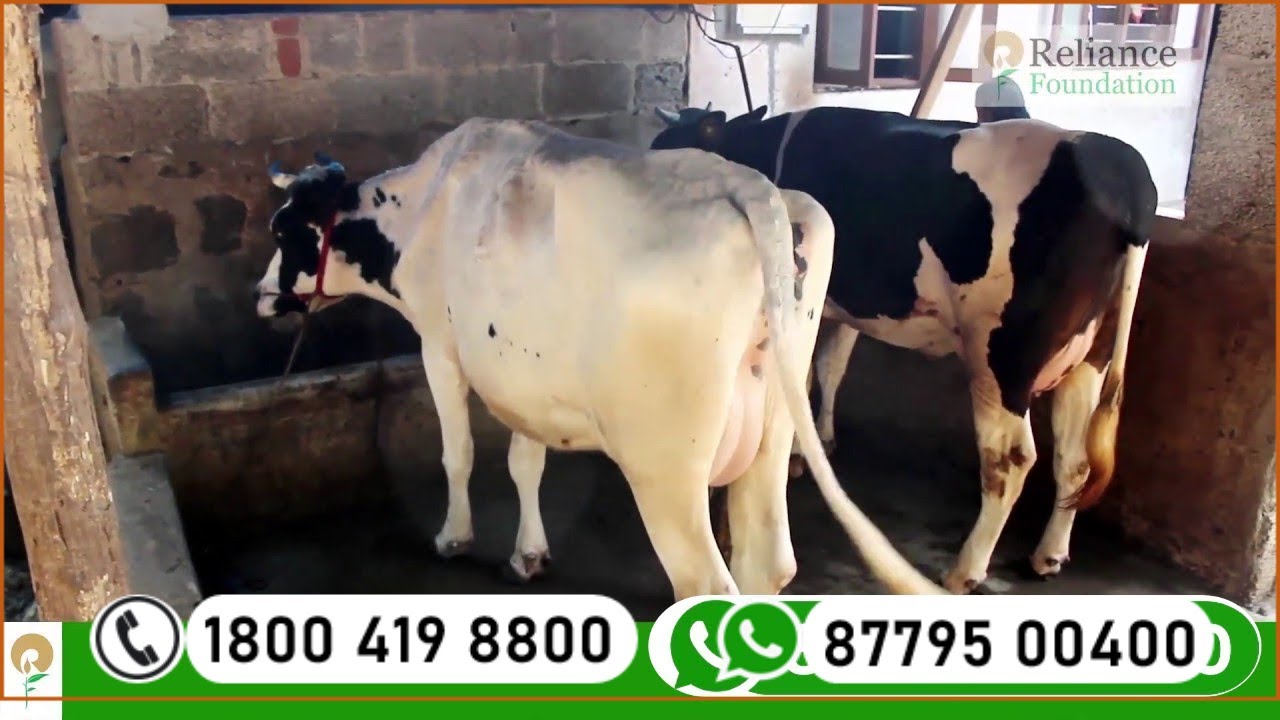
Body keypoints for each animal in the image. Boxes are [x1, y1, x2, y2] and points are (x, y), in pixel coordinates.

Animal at [253, 117, 948, 600]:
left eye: (283, 230)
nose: (261, 294)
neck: (425, 207)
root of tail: (745, 184)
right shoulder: (519, 368)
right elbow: (525, 461)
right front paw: (529, 554)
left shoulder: (439, 344)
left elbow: (460, 453)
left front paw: (453, 537)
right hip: (775, 421)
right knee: (767, 563)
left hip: (665, 464)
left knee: (704, 583)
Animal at [650, 80, 1157, 594]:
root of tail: (1117, 165)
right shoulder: (841, 302)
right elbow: (831, 367)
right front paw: (821, 440)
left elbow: (809, 375)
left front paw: (798, 452)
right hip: (1088, 357)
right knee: (1075, 460)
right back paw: (1048, 555)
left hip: (1001, 359)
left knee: (1009, 460)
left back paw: (965, 570)